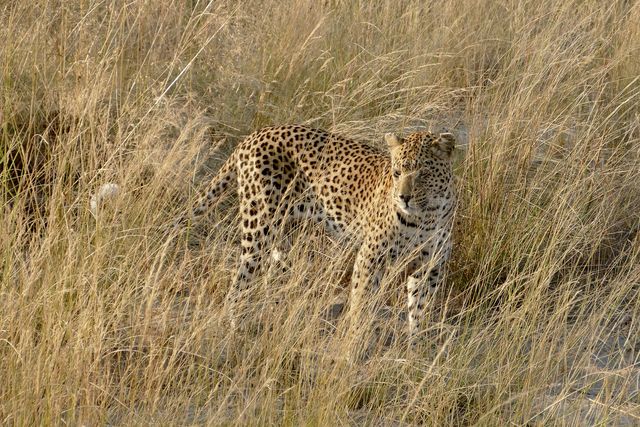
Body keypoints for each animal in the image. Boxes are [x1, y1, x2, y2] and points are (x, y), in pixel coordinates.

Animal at [178, 124, 458, 342]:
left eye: (423, 174)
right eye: (397, 172)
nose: (403, 197)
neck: (427, 215)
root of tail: (256, 134)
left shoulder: (429, 266)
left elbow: (418, 309)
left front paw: (415, 347)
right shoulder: (370, 257)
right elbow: (360, 303)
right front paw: (354, 342)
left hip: (284, 236)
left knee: (272, 276)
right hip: (259, 227)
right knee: (239, 283)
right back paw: (236, 328)